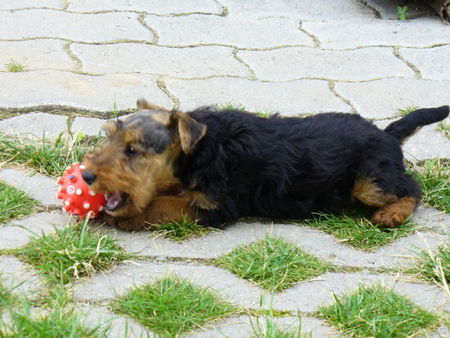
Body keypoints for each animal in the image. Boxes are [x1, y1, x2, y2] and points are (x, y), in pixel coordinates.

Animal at [82, 99, 448, 232]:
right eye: (110, 137)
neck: (200, 150)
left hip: (370, 180)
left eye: (132, 150)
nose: (85, 175)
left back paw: (392, 214)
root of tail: (387, 133)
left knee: (412, 188)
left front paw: (126, 216)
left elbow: (163, 205)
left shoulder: (218, 206)